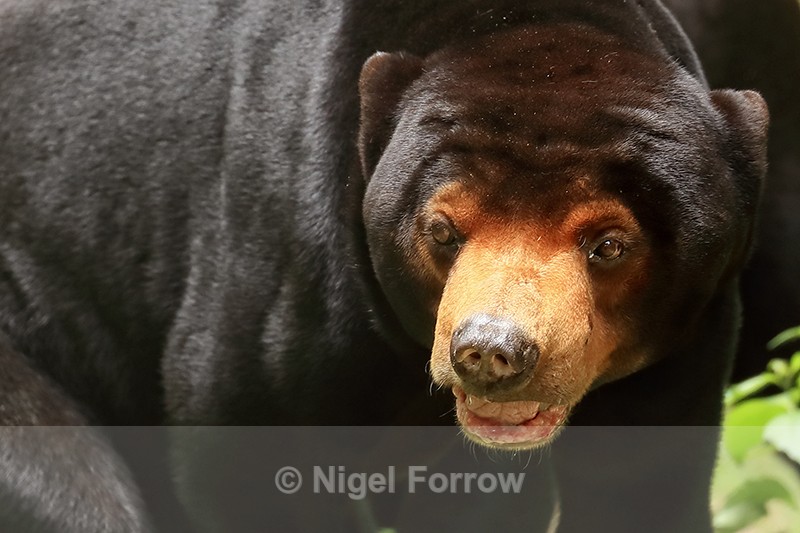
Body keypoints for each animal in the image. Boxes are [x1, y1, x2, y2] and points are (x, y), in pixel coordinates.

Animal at [0, 0, 780, 531]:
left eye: (609, 244)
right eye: (442, 228)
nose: (491, 351)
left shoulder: (689, 339)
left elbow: (638, 481)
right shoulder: (287, 270)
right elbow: (242, 453)